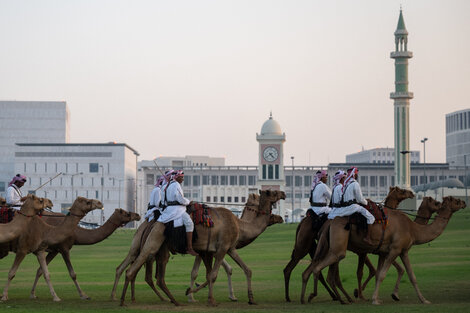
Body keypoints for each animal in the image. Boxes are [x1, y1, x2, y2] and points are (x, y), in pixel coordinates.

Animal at [119, 188, 284, 304]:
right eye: (272, 192)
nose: (283, 193)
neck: (239, 225)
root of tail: (152, 221)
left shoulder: (222, 249)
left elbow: (244, 270)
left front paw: (250, 298)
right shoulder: (221, 249)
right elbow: (212, 274)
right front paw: (203, 297)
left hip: (156, 247)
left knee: (144, 270)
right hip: (153, 243)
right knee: (135, 268)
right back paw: (124, 300)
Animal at [282, 185, 412, 302]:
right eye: (402, 191)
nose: (411, 193)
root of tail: (301, 223)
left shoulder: (366, 250)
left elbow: (373, 270)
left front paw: (358, 292)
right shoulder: (365, 250)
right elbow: (363, 272)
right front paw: (359, 294)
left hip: (314, 248)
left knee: (316, 270)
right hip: (305, 246)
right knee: (295, 268)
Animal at [302, 196, 464, 304]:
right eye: (455, 201)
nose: (464, 202)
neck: (413, 228)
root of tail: (330, 222)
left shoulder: (397, 251)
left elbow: (410, 275)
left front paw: (424, 300)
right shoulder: (394, 249)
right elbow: (382, 274)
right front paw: (376, 299)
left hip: (328, 245)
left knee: (317, 269)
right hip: (338, 247)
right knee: (319, 268)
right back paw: (319, 296)